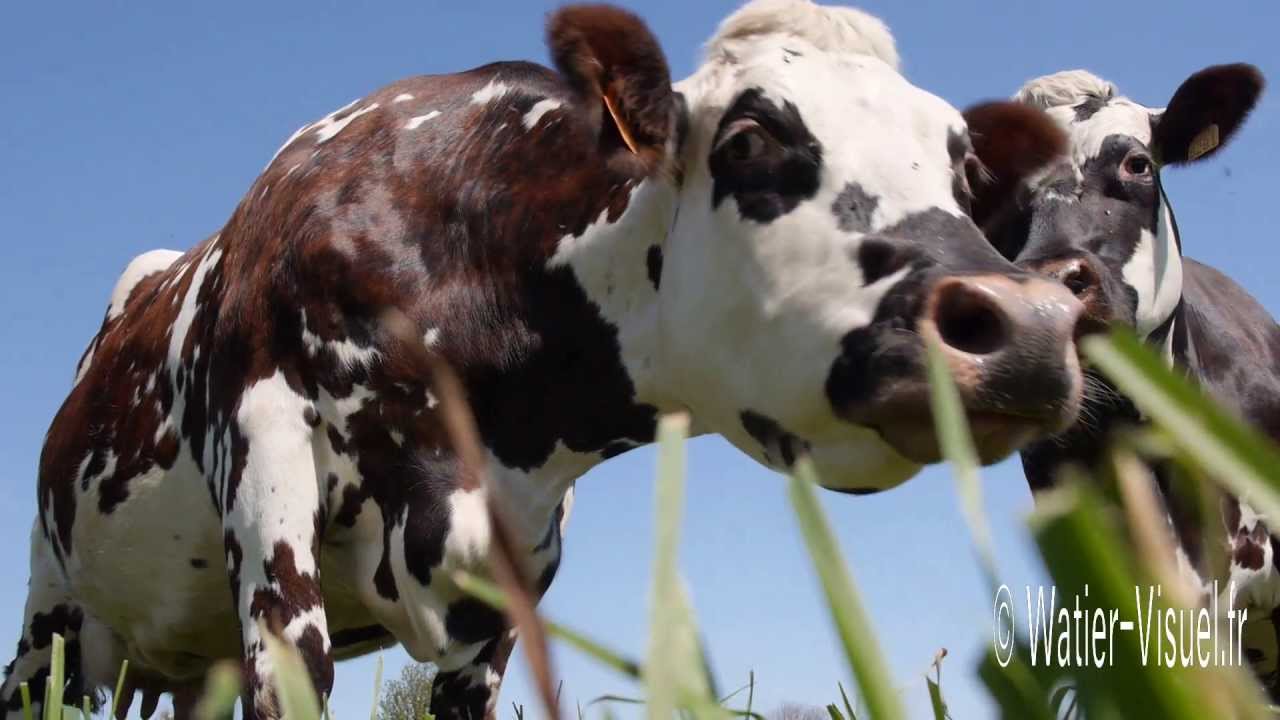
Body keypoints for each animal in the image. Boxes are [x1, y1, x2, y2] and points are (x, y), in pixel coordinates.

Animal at [2, 2, 1088, 719]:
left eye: (961, 166)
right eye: (747, 137)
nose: (1028, 323)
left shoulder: (509, 570)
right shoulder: (267, 463)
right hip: (49, 614)